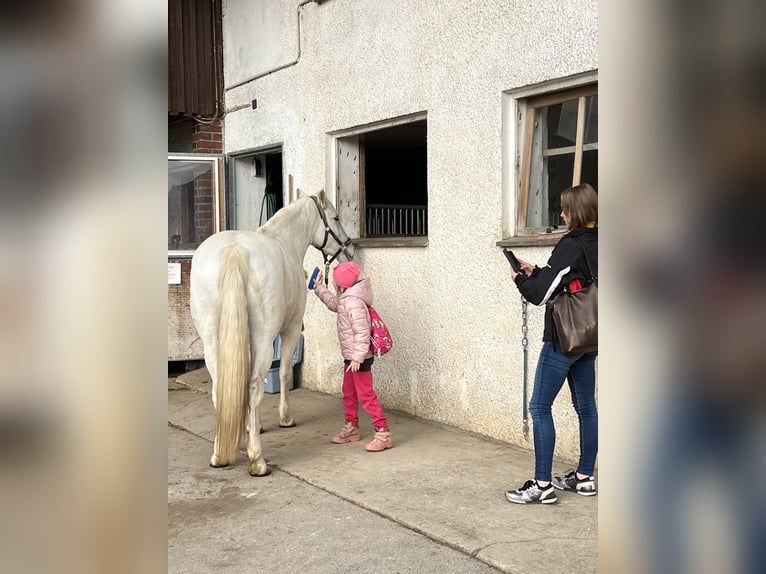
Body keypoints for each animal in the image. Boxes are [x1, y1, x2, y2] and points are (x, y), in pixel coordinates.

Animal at [195, 194, 356, 476]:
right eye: (335, 217)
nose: (349, 250)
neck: (284, 240)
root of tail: (233, 251)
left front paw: (250, 428)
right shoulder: (290, 329)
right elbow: (283, 372)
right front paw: (285, 418)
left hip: (211, 341)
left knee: (219, 387)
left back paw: (220, 453)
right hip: (262, 339)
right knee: (254, 385)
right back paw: (257, 461)